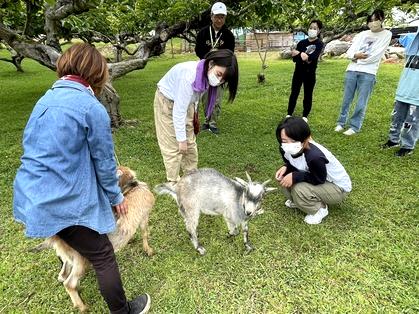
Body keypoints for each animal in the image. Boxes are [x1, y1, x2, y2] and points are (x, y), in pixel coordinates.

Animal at [32, 167, 154, 312]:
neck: (130, 190)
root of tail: (56, 237)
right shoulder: (144, 216)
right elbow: (144, 233)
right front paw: (148, 250)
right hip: (81, 257)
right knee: (70, 283)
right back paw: (82, 307)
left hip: (71, 256)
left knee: (63, 271)